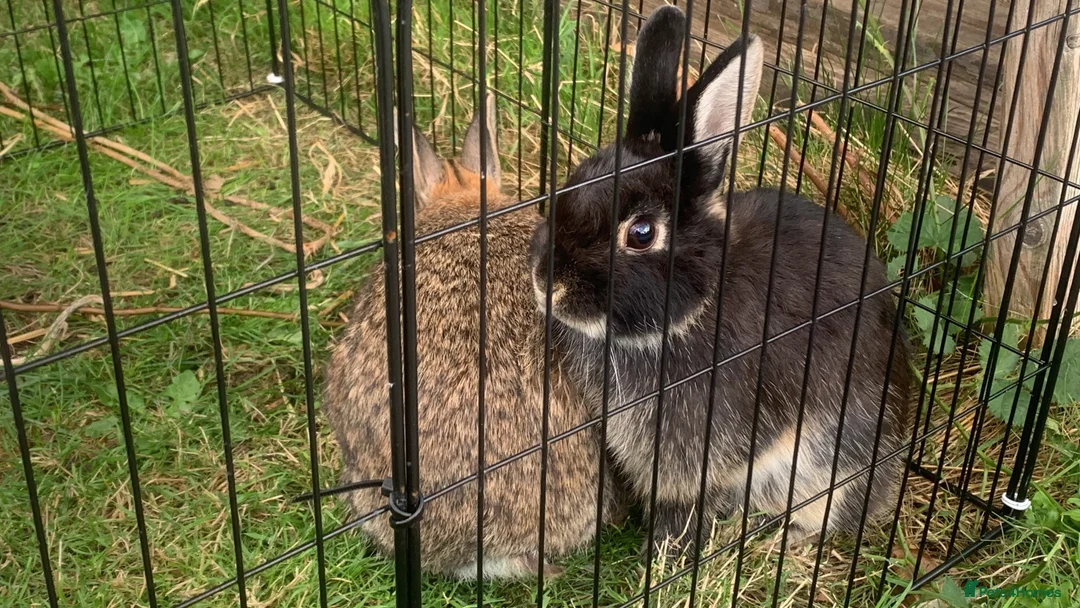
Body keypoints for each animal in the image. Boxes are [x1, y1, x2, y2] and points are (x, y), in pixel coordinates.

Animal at [527, 5, 913, 557]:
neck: (693, 310)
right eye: (574, 181)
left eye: (641, 233)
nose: (547, 283)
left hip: (837, 459)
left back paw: (789, 538)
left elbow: (688, 501)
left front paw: (664, 554)